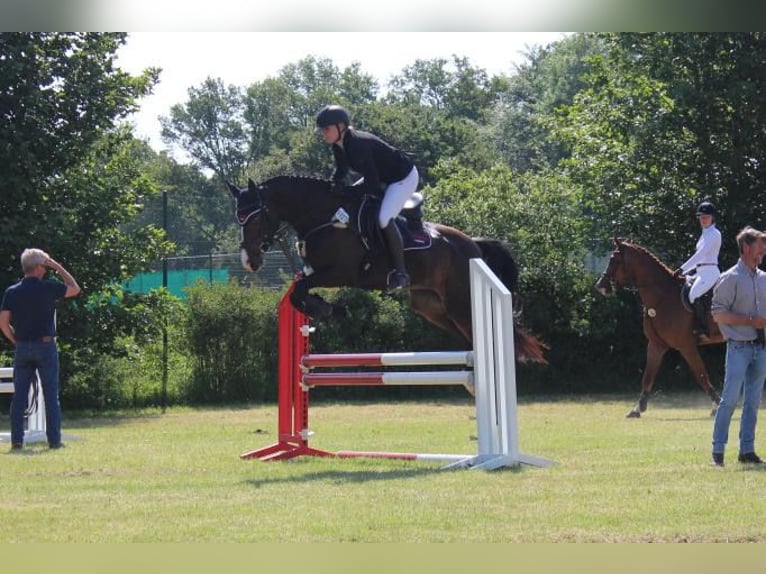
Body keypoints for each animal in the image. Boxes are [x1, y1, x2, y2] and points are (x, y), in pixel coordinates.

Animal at [225, 177, 548, 374]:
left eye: (255, 218)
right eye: (238, 219)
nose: (249, 261)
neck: (324, 218)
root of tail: (473, 245)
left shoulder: (341, 272)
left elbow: (301, 289)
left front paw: (329, 309)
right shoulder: (316, 272)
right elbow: (298, 292)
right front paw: (327, 308)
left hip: (461, 301)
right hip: (430, 306)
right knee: (464, 333)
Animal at [592, 238, 728, 418]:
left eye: (614, 260)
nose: (600, 286)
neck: (663, 297)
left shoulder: (686, 346)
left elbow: (702, 376)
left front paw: (717, 405)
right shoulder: (656, 345)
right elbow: (648, 376)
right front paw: (637, 408)